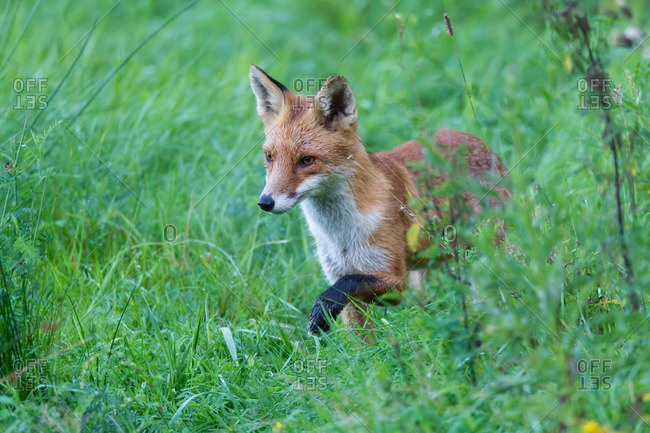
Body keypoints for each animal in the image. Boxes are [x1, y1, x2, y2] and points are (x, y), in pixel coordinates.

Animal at [249, 65, 511, 338]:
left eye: (307, 160)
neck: (341, 234)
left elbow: (348, 284)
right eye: (269, 157)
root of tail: (482, 144)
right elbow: (361, 341)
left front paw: (322, 309)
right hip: (427, 277)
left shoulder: (394, 281)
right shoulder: (341, 279)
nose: (265, 202)